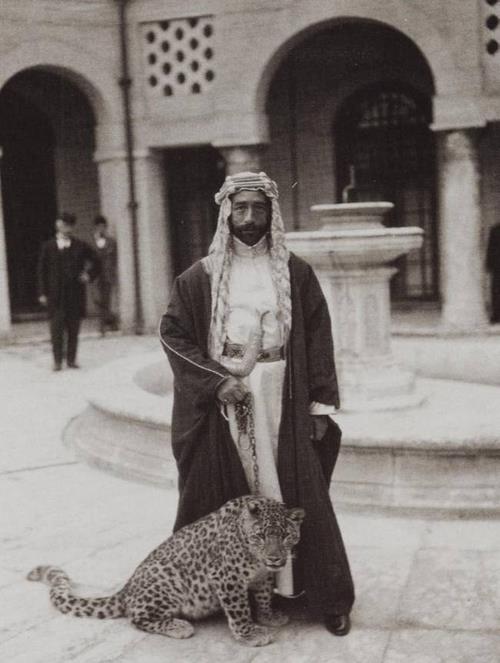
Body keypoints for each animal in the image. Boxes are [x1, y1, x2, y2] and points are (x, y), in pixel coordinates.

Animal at [29, 498, 306, 648]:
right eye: (260, 536)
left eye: (286, 536)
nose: (275, 558)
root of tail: (126, 589)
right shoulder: (227, 578)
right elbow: (239, 610)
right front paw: (249, 634)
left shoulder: (263, 576)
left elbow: (263, 597)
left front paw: (268, 616)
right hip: (167, 583)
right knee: (137, 618)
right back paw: (179, 626)